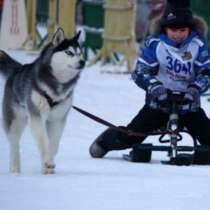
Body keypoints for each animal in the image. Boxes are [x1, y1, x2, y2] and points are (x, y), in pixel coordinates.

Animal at [0, 27, 85, 174]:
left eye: (80, 54)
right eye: (69, 52)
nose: (82, 62)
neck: (57, 85)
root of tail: (17, 70)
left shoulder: (58, 119)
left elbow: (53, 144)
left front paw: (48, 166)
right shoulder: (37, 116)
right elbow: (43, 141)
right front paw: (47, 162)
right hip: (15, 120)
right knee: (14, 143)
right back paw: (15, 168)